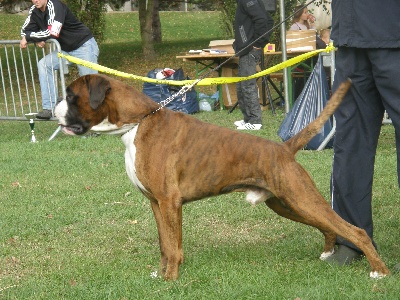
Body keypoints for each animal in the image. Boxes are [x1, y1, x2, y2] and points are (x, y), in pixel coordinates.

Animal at [54, 74, 390, 280]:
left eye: (71, 96)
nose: (54, 111)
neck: (138, 123)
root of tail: (284, 148)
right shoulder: (156, 203)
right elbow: (164, 243)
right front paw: (160, 274)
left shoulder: (170, 202)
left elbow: (173, 245)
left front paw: (171, 278)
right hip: (287, 204)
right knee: (329, 226)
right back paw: (328, 252)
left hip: (300, 198)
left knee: (355, 230)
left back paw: (379, 271)